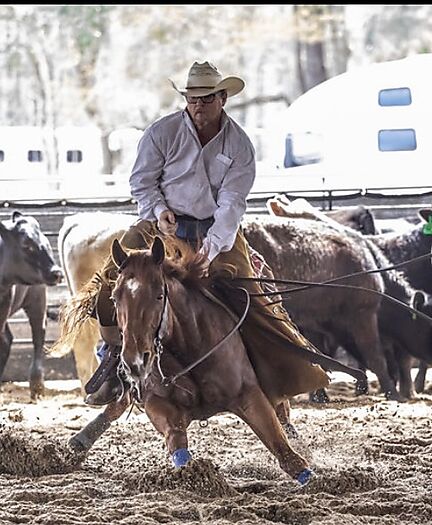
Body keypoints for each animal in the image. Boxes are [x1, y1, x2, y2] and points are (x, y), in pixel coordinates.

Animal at [66, 235, 366, 486]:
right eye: (115, 298)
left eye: (159, 295)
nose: (135, 360)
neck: (191, 348)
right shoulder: (156, 403)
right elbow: (177, 445)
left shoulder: (250, 395)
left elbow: (285, 451)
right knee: (120, 402)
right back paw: (80, 440)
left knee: (283, 413)